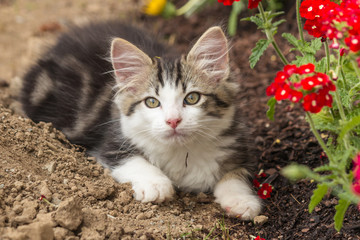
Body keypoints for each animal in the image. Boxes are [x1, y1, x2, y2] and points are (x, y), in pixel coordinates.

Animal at [20, 21, 262, 220]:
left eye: (192, 98)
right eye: (152, 102)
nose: (173, 121)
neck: (181, 152)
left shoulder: (237, 147)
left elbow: (235, 173)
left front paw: (242, 200)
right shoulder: (110, 143)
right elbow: (132, 159)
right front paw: (156, 184)